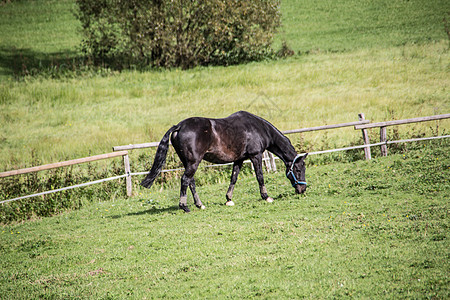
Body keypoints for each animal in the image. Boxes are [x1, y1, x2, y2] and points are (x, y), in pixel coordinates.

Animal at [142, 110, 310, 213]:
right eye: (298, 170)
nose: (302, 190)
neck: (257, 129)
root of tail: (179, 126)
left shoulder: (239, 160)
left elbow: (233, 178)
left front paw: (229, 199)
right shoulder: (256, 156)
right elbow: (260, 177)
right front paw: (266, 197)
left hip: (188, 162)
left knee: (191, 182)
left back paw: (200, 205)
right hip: (193, 162)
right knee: (185, 180)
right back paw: (185, 206)